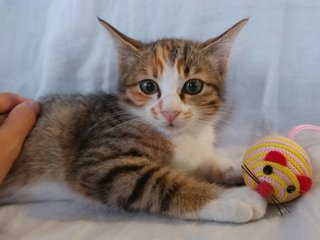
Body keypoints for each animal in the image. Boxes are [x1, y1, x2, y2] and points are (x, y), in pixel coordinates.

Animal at [0, 18, 266, 223]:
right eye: (148, 86)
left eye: (193, 86)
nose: (170, 112)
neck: (181, 137)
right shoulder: (99, 159)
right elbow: (156, 183)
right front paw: (231, 198)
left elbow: (206, 161)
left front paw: (240, 163)